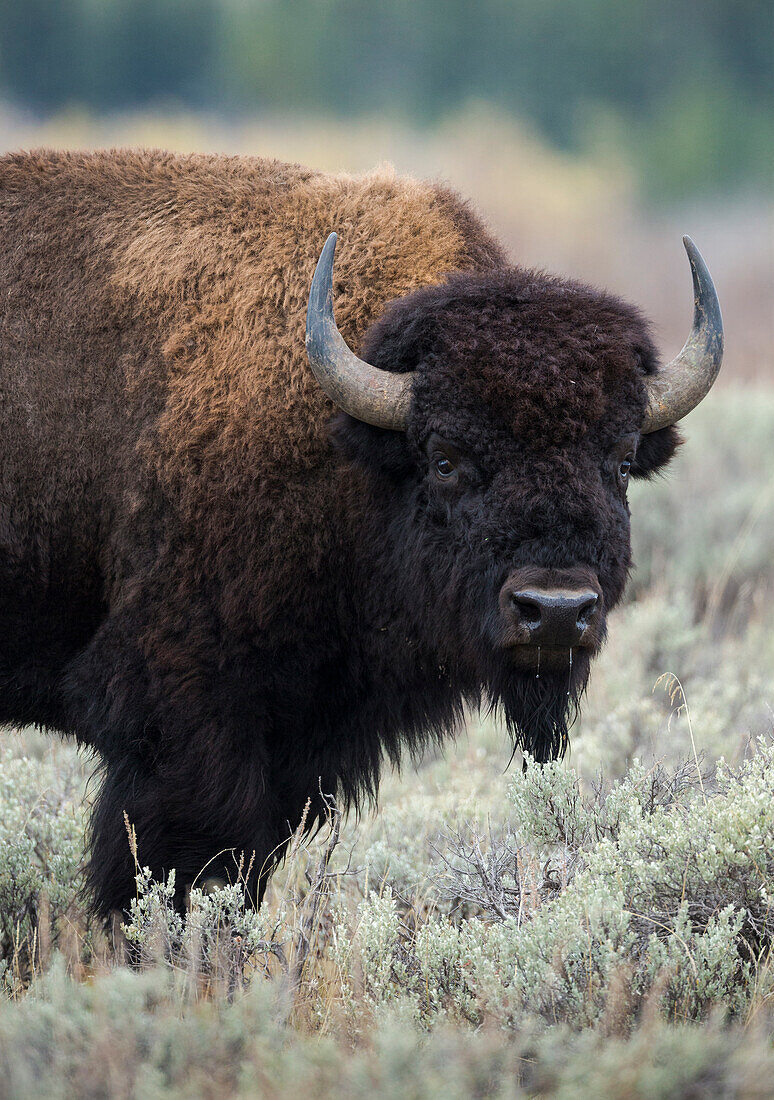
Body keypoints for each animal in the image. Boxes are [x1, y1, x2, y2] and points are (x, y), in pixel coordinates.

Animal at [0, 148, 721, 919]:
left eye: (621, 461)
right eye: (445, 459)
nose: (555, 612)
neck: (350, 451)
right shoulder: (182, 720)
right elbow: (175, 871)